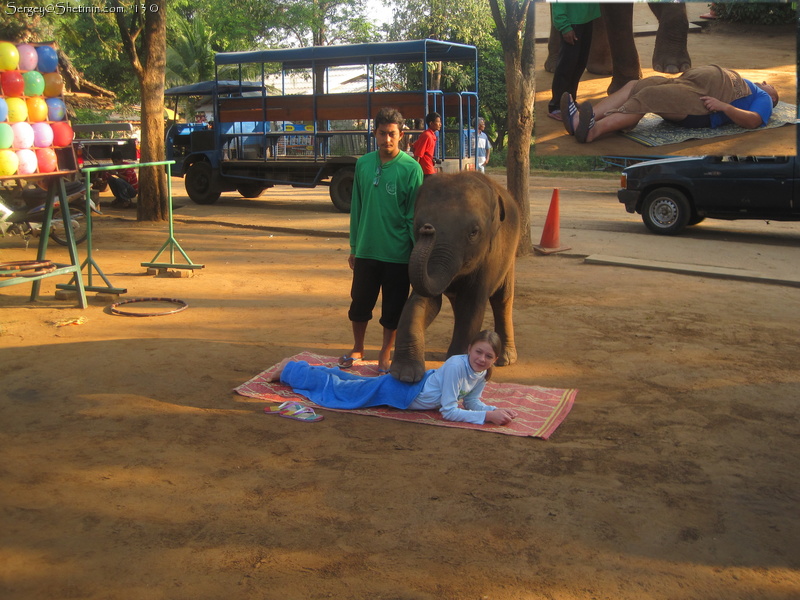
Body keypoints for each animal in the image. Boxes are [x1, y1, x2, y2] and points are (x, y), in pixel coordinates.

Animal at [392, 171, 520, 382]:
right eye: (417, 226)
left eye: (474, 232)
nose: (428, 229)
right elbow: (423, 301)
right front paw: (406, 375)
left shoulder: (491, 256)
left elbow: (472, 304)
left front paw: (464, 365)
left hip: (510, 254)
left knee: (502, 299)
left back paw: (506, 358)